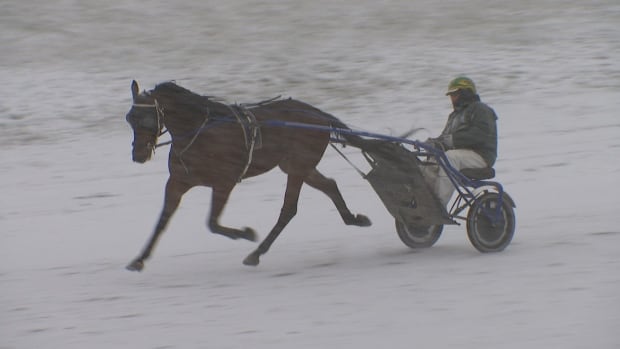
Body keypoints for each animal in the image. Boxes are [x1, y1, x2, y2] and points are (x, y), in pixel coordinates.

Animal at [123, 80, 370, 270]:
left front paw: (246, 233)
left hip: (298, 167)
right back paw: (353, 218)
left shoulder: (224, 182)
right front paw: (139, 259)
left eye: (146, 117)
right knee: (329, 185)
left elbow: (213, 223)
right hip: (298, 167)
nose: (138, 154)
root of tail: (317, 114)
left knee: (289, 209)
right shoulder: (177, 181)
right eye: (129, 117)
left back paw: (256, 252)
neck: (201, 133)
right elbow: (162, 221)